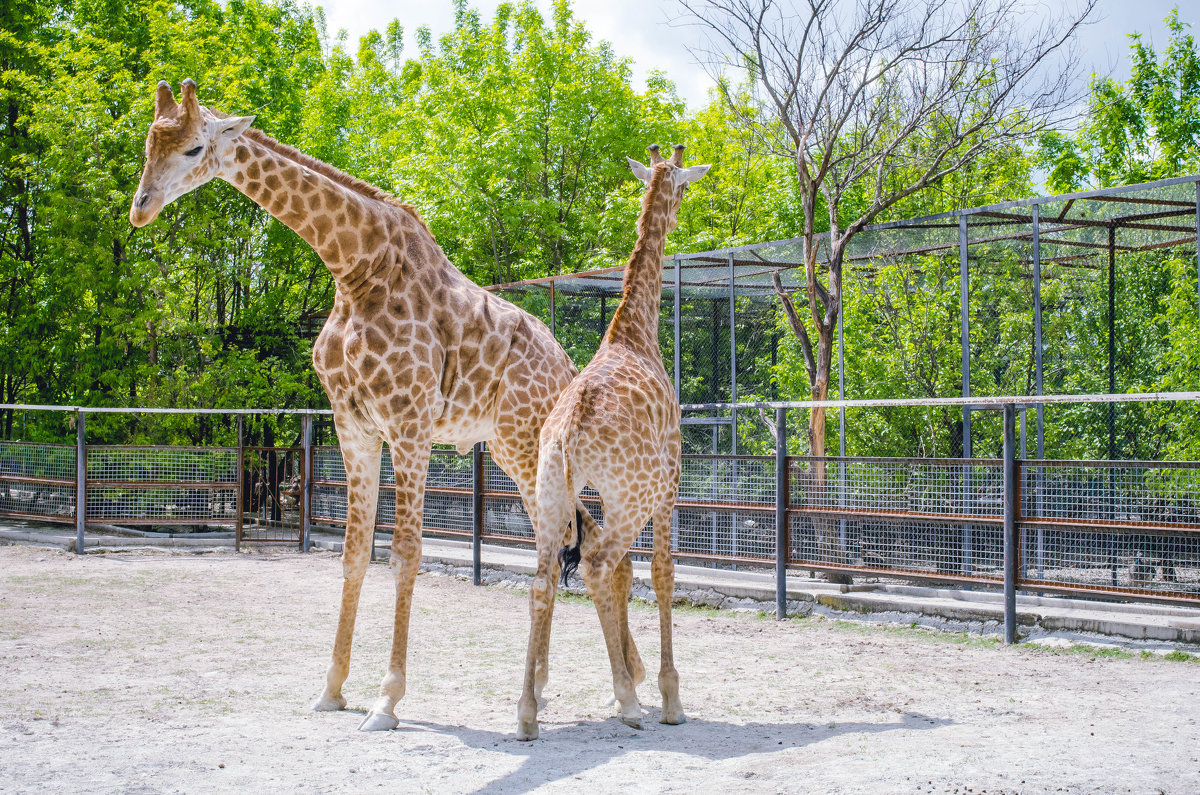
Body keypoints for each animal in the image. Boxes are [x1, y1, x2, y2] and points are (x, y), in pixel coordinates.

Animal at [130, 81, 638, 734]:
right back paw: (590, 688)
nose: (141, 208)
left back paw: (624, 693)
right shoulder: (353, 425)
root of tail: (569, 369)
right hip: (511, 450)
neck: (353, 269)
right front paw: (331, 688)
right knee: (579, 546)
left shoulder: (410, 424)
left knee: (580, 549)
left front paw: (386, 700)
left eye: (194, 147)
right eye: (149, 142)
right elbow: (353, 555)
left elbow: (404, 554)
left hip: (528, 447)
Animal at [518, 141, 705, 739]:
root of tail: (572, 427)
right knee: (599, 566)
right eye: (684, 186)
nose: (679, 209)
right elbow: (664, 574)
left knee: (543, 580)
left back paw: (526, 713)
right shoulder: (669, 485)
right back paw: (628, 702)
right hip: (631, 496)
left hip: (550, 493)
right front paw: (670, 698)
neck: (635, 330)